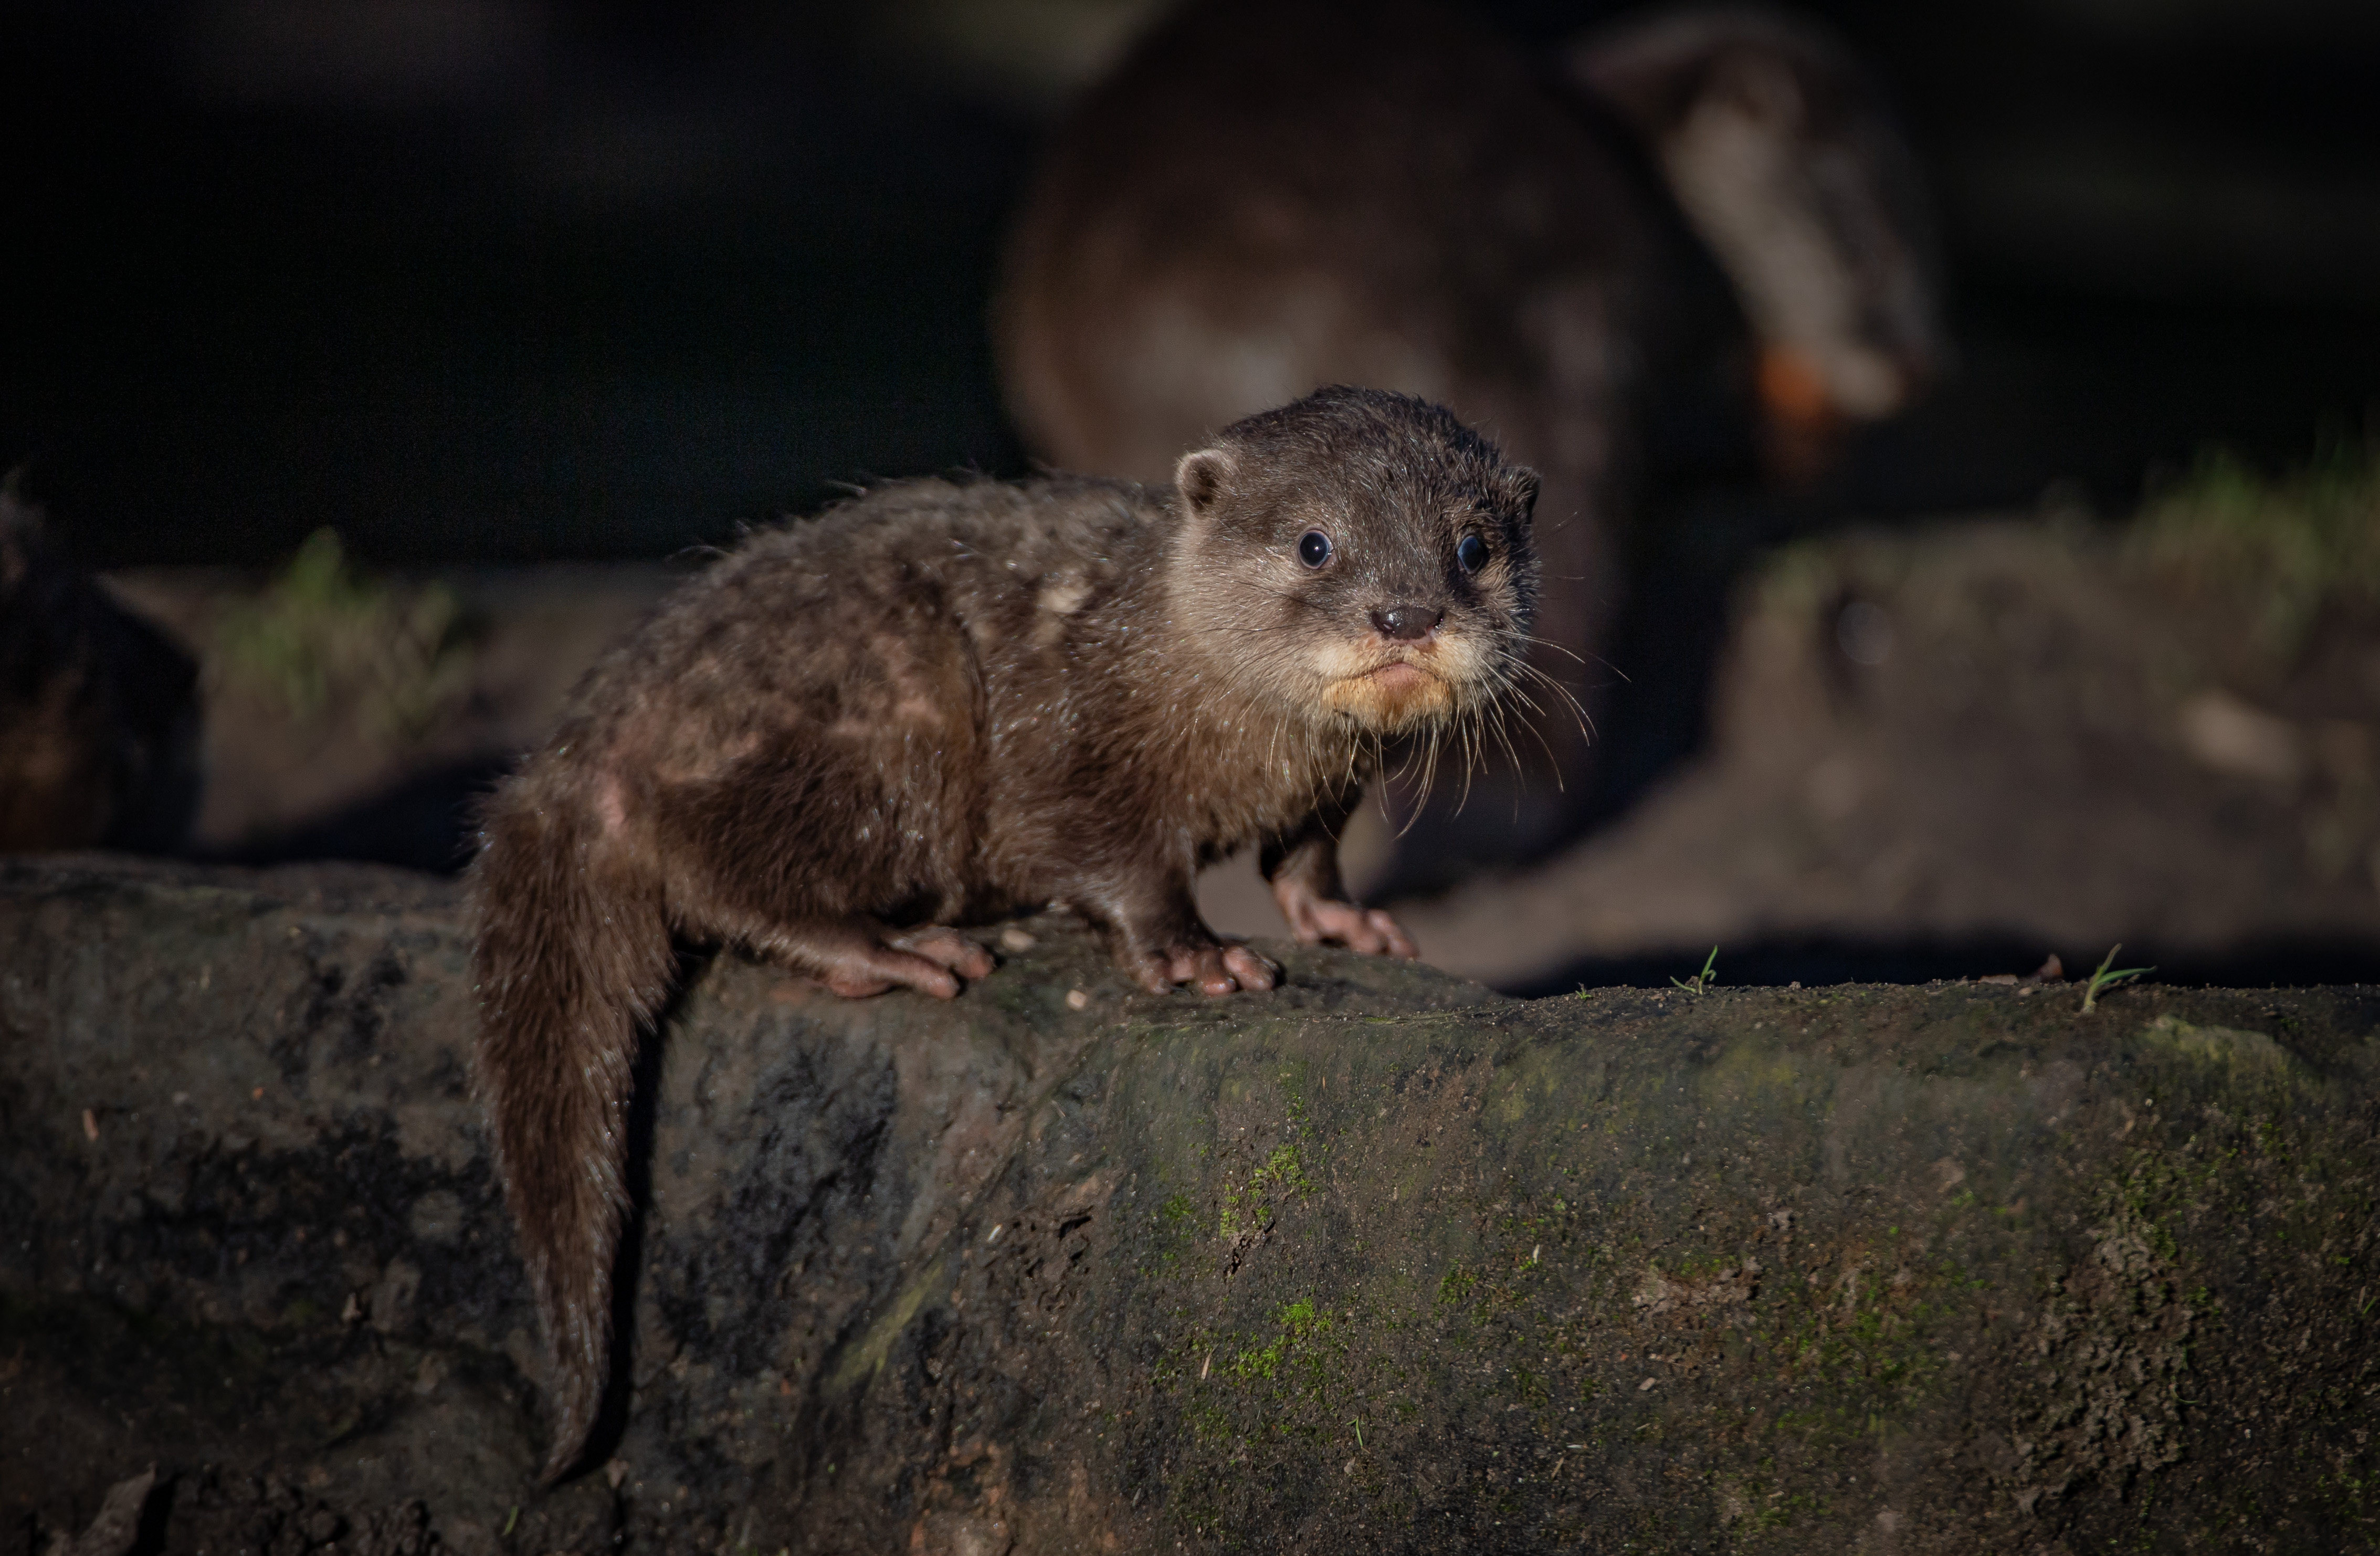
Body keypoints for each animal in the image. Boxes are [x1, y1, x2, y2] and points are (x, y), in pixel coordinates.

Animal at [469, 390, 1542, 1485]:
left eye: (1471, 545)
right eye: (1314, 543)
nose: (1406, 613)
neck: (1179, 682)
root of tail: (583, 746)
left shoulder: (1324, 786)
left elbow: (1306, 855)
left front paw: (1345, 920)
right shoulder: (1061, 741)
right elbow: (1105, 852)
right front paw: (1192, 951)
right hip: (891, 718)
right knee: (705, 861)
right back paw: (893, 948)